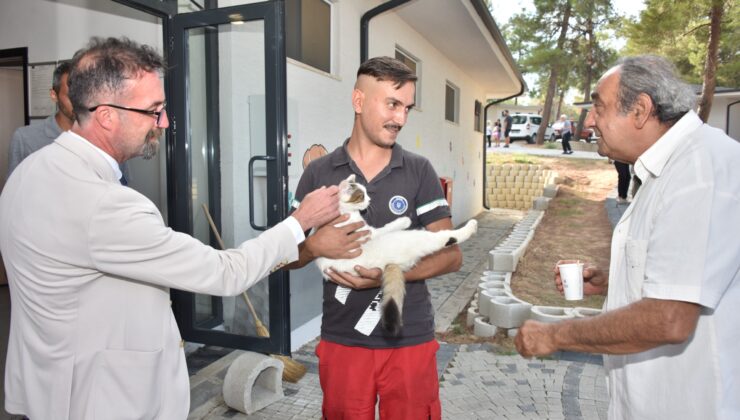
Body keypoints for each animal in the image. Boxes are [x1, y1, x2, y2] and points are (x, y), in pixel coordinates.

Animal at [316, 174, 476, 334]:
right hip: (411, 239)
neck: (342, 211)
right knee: (445, 238)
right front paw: (404, 220)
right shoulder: (369, 233)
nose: (369, 200)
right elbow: (387, 226)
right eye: (361, 196)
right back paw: (470, 227)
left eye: (366, 193)